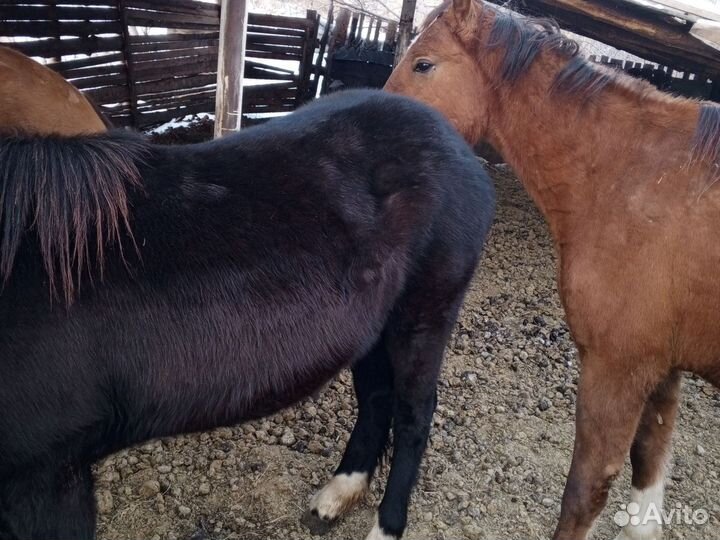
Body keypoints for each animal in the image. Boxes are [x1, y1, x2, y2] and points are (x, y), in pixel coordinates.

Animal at [0, 89, 494, 540]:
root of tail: (457, 146)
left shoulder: (47, 476)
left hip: (425, 314)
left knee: (414, 415)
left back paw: (386, 527)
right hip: (374, 328)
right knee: (376, 398)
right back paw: (339, 493)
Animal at [385, 1, 720, 539]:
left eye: (424, 64)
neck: (634, 180)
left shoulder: (616, 369)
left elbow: (585, 492)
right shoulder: (663, 368)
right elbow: (649, 467)